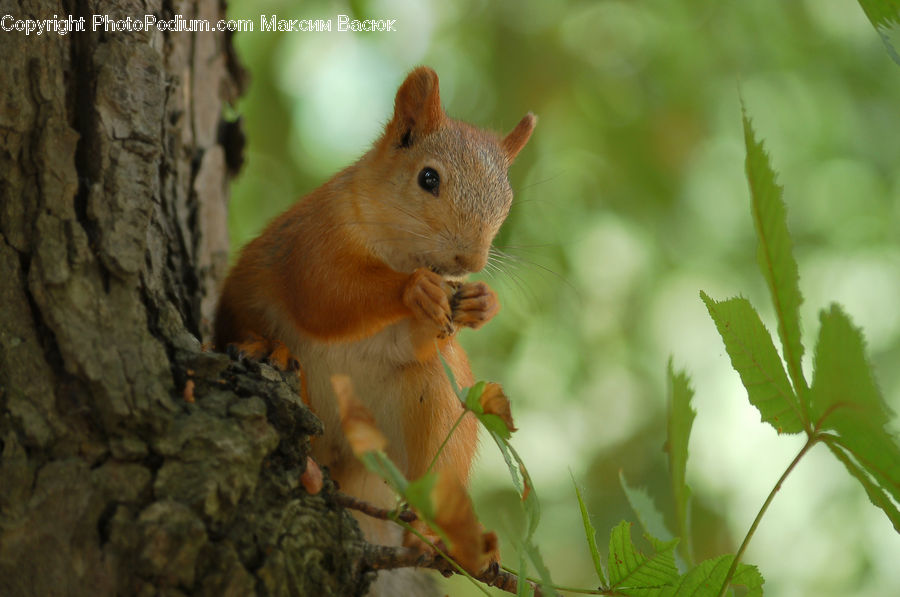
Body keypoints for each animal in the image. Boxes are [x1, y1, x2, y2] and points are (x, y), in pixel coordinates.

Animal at [214, 66, 535, 593]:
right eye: (428, 178)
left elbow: (421, 340)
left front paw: (481, 304)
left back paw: (439, 535)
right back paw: (273, 361)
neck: (397, 253)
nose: (469, 261)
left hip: (423, 416)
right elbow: (328, 296)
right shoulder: (314, 241)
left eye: (506, 201)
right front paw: (415, 289)